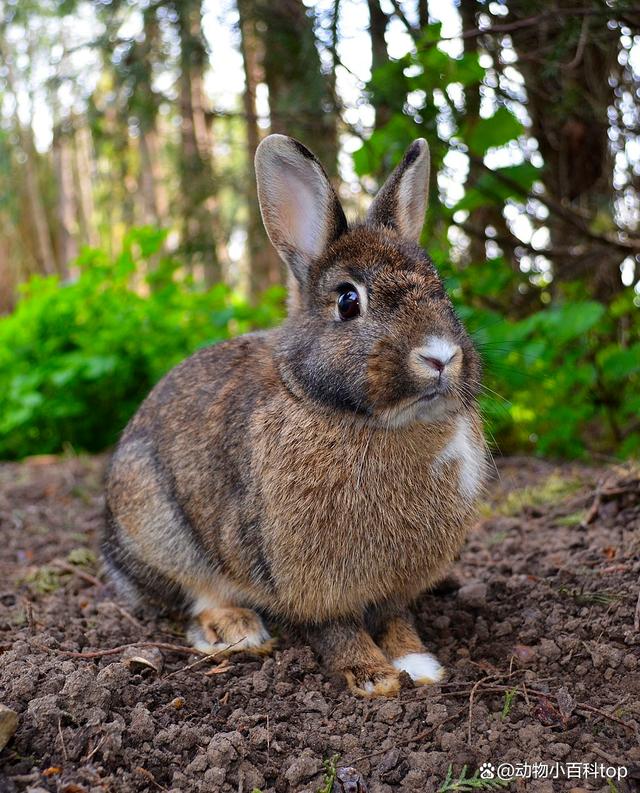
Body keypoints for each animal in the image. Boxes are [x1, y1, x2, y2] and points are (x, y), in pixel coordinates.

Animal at [103, 134, 488, 697]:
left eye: (442, 291)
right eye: (348, 301)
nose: (440, 356)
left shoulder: (396, 587)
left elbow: (395, 619)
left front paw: (418, 663)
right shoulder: (306, 579)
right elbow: (336, 627)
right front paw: (372, 676)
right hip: (156, 524)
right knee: (194, 595)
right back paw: (236, 629)